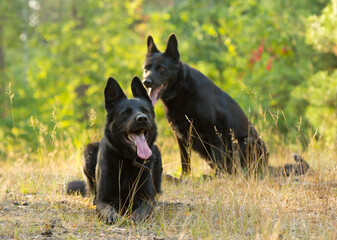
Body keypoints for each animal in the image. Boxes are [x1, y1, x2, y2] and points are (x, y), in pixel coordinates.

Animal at [66, 76, 161, 223]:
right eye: (125, 113)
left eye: (145, 111)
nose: (142, 118)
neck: (128, 160)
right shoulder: (104, 200)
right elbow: (108, 210)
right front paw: (113, 217)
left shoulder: (146, 199)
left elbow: (141, 212)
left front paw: (134, 218)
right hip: (88, 151)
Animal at [140, 33, 308, 175]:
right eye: (146, 68)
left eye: (161, 68)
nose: (145, 82)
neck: (182, 92)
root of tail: (268, 167)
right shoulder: (181, 137)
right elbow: (185, 162)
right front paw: (184, 178)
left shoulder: (214, 133)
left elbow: (218, 159)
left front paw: (217, 178)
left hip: (246, 142)